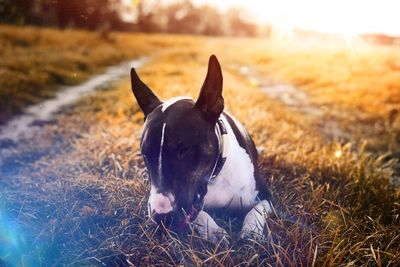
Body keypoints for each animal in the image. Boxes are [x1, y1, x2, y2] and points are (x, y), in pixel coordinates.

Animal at [130, 55, 272, 242]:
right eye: (145, 154)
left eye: (183, 150)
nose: (160, 217)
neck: (217, 175)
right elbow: (198, 213)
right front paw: (214, 231)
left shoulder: (265, 196)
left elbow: (255, 211)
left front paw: (251, 232)